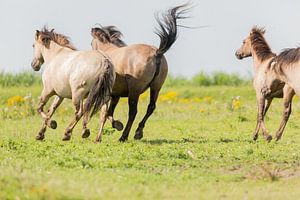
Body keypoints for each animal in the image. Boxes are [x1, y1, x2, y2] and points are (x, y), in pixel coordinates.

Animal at [89, 5, 189, 142]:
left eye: (91, 43)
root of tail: (157, 52)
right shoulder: (115, 95)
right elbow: (109, 112)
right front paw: (116, 125)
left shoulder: (108, 93)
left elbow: (104, 113)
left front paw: (99, 137)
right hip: (156, 87)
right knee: (151, 107)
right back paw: (138, 132)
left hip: (134, 91)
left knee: (133, 112)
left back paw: (124, 136)